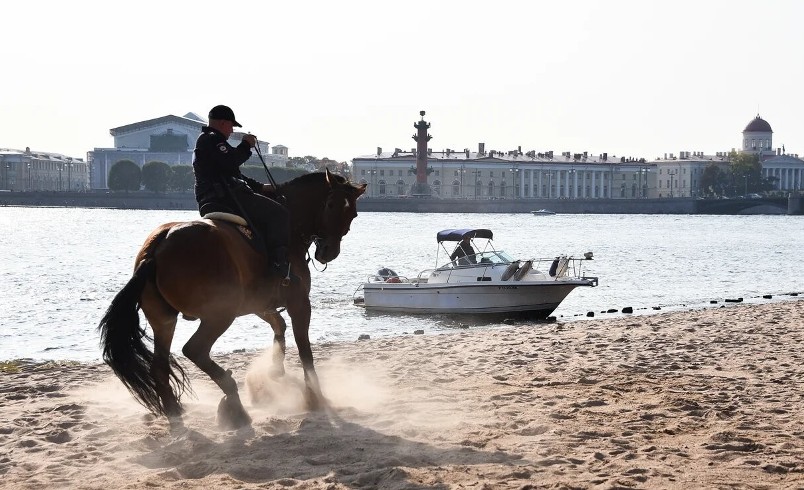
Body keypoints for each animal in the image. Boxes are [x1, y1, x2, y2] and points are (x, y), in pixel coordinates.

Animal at [96, 169, 368, 428]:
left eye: (353, 214)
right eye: (330, 205)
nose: (328, 252)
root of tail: (159, 245)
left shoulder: (259, 304)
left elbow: (279, 327)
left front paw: (275, 370)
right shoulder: (299, 303)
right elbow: (305, 351)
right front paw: (314, 397)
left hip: (165, 320)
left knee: (160, 366)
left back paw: (177, 410)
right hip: (219, 315)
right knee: (195, 350)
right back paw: (233, 401)